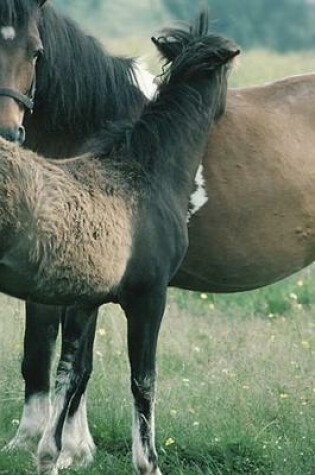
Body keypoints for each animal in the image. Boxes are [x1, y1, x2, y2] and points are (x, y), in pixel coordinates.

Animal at [0, 14, 239, 475]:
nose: (228, 113)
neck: (143, 172)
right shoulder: (150, 297)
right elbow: (143, 380)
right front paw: (148, 462)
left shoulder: (84, 299)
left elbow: (71, 373)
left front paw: (53, 455)